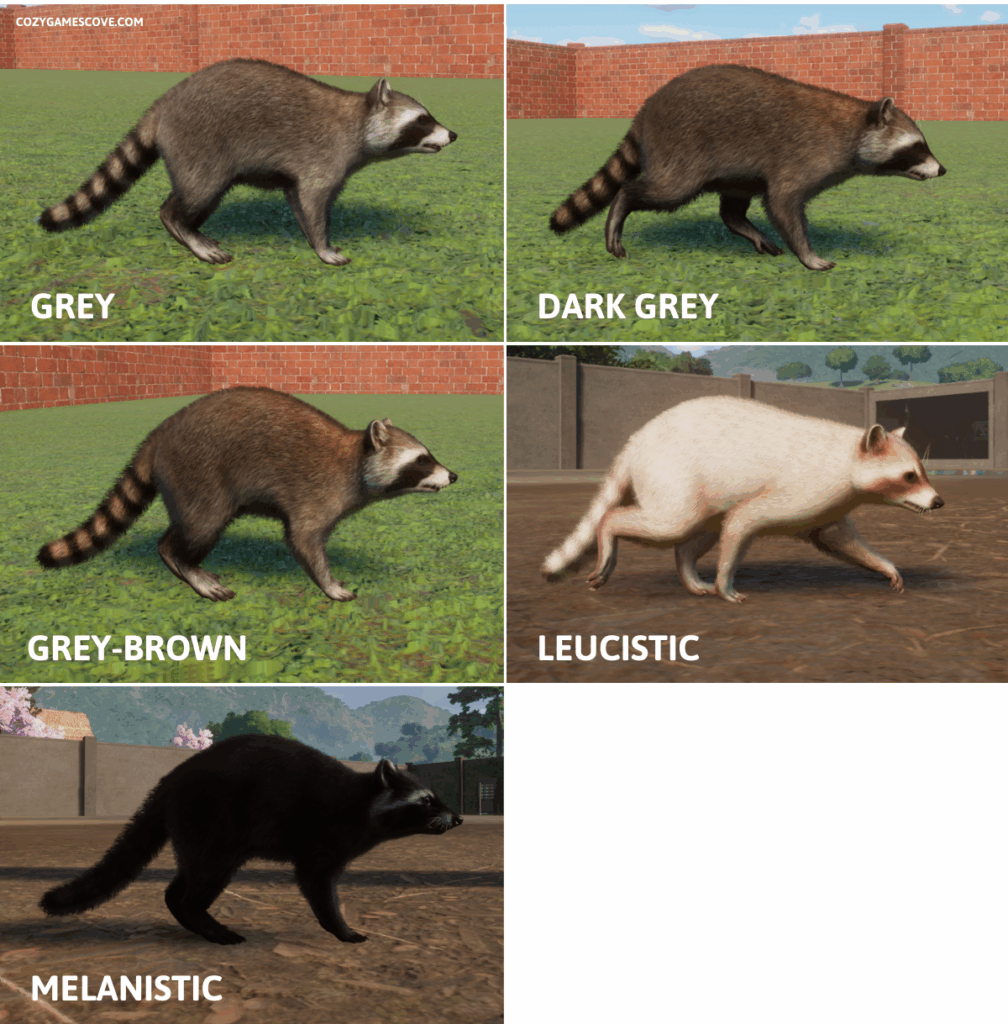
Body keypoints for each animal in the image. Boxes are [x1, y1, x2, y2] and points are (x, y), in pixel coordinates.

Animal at [36, 387, 457, 601]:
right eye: (422, 460)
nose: (453, 475)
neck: (355, 454)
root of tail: (162, 431)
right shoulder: (316, 492)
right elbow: (303, 540)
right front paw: (329, 583)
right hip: (199, 474)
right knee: (200, 526)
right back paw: (185, 563)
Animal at [38, 59, 457, 265]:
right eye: (423, 120)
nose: (452, 134)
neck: (357, 114)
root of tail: (168, 99)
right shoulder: (324, 155)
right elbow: (314, 202)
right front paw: (323, 246)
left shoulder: (302, 171)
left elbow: (298, 200)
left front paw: (310, 240)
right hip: (199, 144)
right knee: (195, 194)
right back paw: (182, 226)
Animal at [39, 736, 463, 945]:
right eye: (426, 800)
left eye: (437, 797)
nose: (458, 817)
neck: (358, 799)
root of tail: (172, 777)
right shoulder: (320, 841)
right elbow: (319, 889)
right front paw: (341, 928)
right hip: (214, 825)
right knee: (198, 885)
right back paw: (209, 926)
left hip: (197, 834)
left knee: (180, 884)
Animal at [550, 64, 946, 270]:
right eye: (916, 147)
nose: (941, 170)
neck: (854, 122)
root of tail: (647, 107)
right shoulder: (803, 154)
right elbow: (783, 203)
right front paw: (808, 254)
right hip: (682, 149)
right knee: (664, 190)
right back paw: (622, 203)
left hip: (729, 168)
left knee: (731, 208)